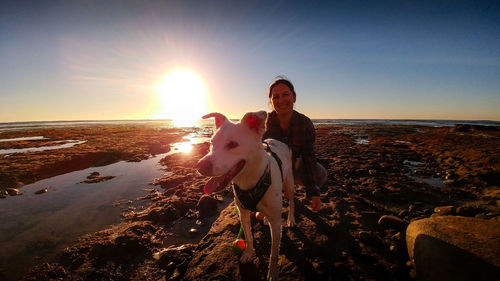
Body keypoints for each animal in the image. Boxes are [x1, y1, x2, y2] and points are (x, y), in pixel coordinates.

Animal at [197, 110, 294, 278]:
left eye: (232, 144)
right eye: (211, 142)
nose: (200, 166)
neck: (249, 179)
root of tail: (279, 141)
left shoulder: (277, 224)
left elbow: (274, 253)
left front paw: (272, 273)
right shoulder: (243, 213)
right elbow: (248, 237)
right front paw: (248, 253)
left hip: (290, 182)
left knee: (293, 201)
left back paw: (291, 218)